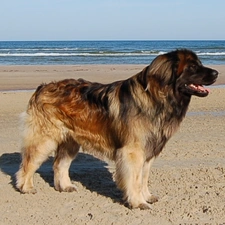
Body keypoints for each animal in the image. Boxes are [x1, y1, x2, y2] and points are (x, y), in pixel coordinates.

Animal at [15, 49, 218, 209]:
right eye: (192, 67)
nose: (216, 73)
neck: (158, 97)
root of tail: (41, 88)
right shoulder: (133, 152)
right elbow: (134, 179)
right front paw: (138, 202)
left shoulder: (148, 151)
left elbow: (143, 177)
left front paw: (146, 196)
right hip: (44, 139)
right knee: (28, 163)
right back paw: (26, 187)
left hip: (70, 142)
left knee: (59, 164)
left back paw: (64, 186)